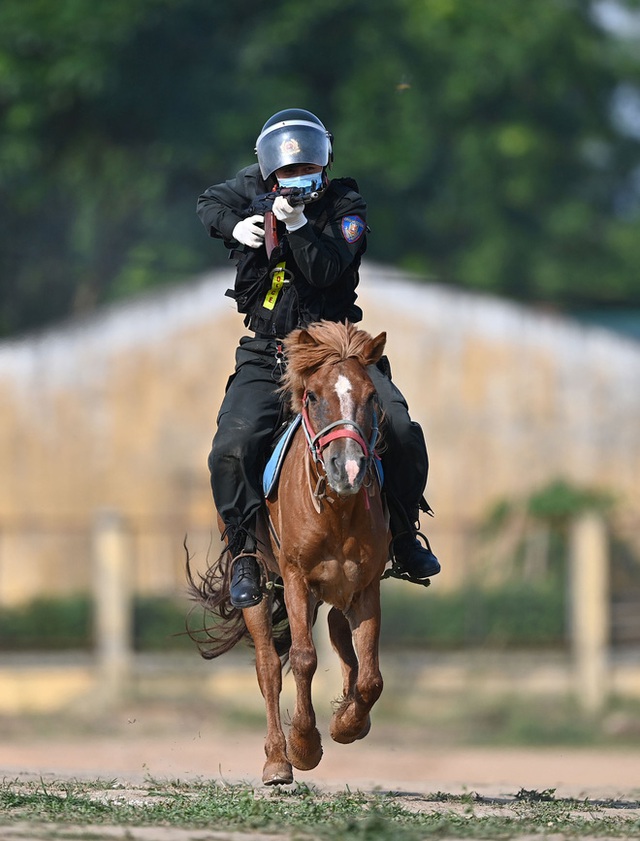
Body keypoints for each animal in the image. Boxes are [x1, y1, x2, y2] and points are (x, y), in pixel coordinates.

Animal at [188, 318, 390, 784]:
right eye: (313, 396)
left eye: (372, 396)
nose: (348, 468)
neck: (337, 509)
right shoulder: (296, 577)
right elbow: (301, 659)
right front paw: (304, 745)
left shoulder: (366, 584)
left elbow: (371, 678)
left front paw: (348, 723)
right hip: (262, 587)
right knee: (268, 667)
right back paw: (277, 759)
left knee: (337, 630)